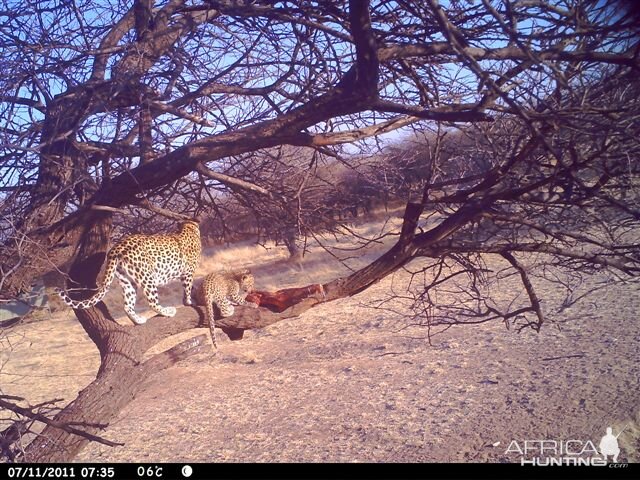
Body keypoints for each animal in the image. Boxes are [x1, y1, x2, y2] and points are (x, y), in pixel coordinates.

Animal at [59, 219, 202, 324]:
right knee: (152, 302)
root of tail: (115, 249)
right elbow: (187, 288)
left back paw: (138, 320)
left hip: (127, 280)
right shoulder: (188, 272)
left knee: (127, 306)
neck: (188, 229)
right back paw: (168, 311)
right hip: (147, 277)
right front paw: (189, 302)